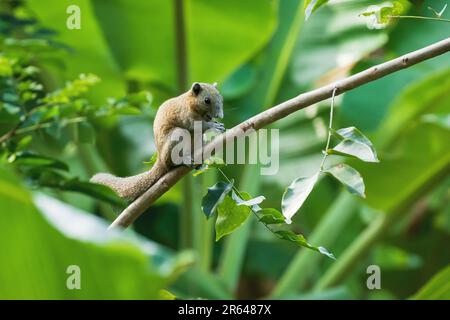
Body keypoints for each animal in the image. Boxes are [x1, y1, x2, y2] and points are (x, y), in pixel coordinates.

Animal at [90, 83, 225, 202]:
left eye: (221, 98)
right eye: (206, 100)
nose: (220, 115)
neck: (189, 102)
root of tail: (160, 159)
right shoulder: (185, 115)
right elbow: (194, 126)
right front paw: (213, 126)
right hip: (176, 137)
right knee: (171, 162)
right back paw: (183, 160)